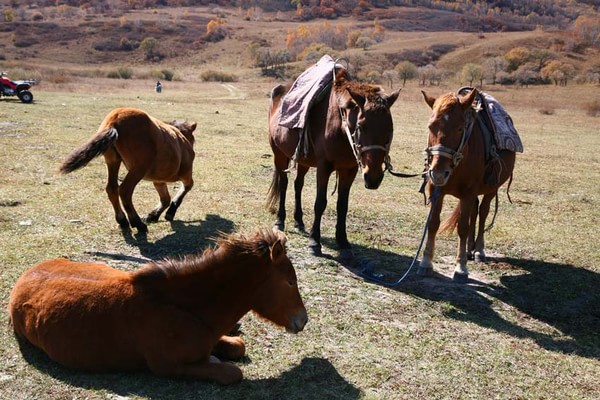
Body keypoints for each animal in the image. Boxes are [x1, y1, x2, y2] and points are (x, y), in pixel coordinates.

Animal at [8, 230, 308, 386]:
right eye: (290, 281)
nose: (303, 320)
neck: (186, 308)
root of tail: (30, 272)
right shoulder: (167, 367)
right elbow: (232, 372)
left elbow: (237, 347)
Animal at [58, 107, 196, 234]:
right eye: (193, 139)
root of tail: (114, 120)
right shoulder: (185, 174)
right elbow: (187, 187)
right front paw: (170, 212)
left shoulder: (158, 180)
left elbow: (165, 199)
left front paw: (153, 216)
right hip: (138, 169)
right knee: (125, 191)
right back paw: (137, 223)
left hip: (113, 161)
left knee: (112, 188)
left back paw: (122, 220)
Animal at [268, 68, 398, 260]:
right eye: (361, 126)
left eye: (390, 129)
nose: (373, 177)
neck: (340, 127)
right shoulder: (324, 167)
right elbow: (320, 203)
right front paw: (315, 242)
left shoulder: (349, 170)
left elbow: (342, 205)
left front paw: (343, 242)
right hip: (279, 155)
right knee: (284, 184)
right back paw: (280, 220)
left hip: (304, 160)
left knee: (298, 184)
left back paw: (299, 221)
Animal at [418, 88, 516, 282]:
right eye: (431, 126)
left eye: (460, 128)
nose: (438, 173)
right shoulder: (436, 190)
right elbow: (433, 223)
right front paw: (426, 263)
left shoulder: (468, 193)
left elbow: (462, 228)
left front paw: (461, 267)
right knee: (474, 212)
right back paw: (470, 249)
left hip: (491, 189)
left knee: (483, 212)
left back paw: (478, 250)